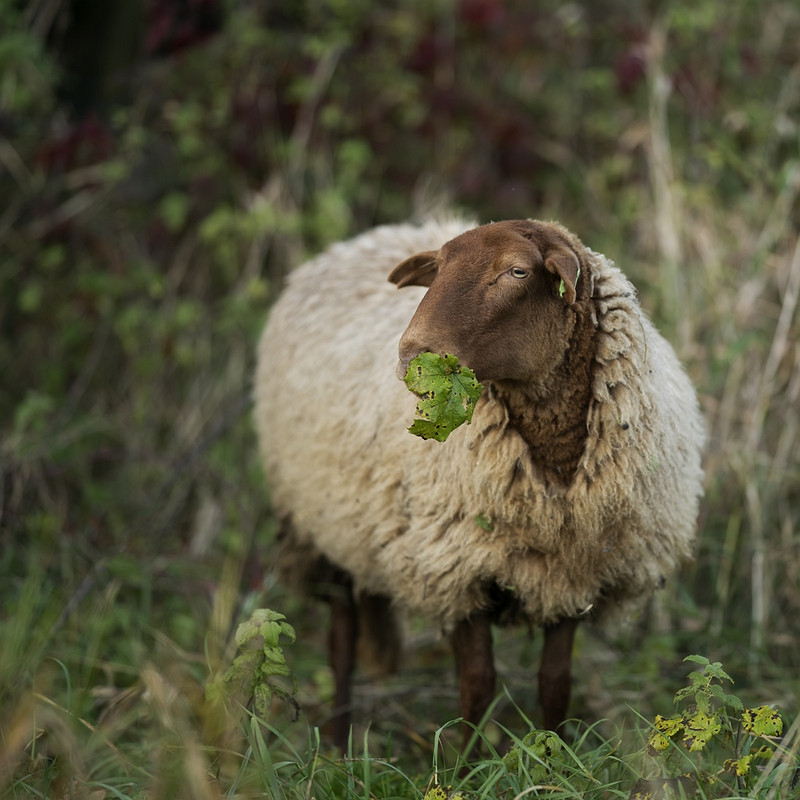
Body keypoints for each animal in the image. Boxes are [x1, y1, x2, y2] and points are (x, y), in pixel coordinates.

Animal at [253, 216, 704, 748]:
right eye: (439, 267)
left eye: (517, 271)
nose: (410, 356)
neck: (554, 459)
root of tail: (356, 242)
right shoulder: (457, 568)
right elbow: (477, 684)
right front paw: (467, 761)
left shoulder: (574, 576)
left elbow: (555, 683)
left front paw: (554, 755)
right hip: (324, 522)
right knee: (341, 638)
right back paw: (338, 745)